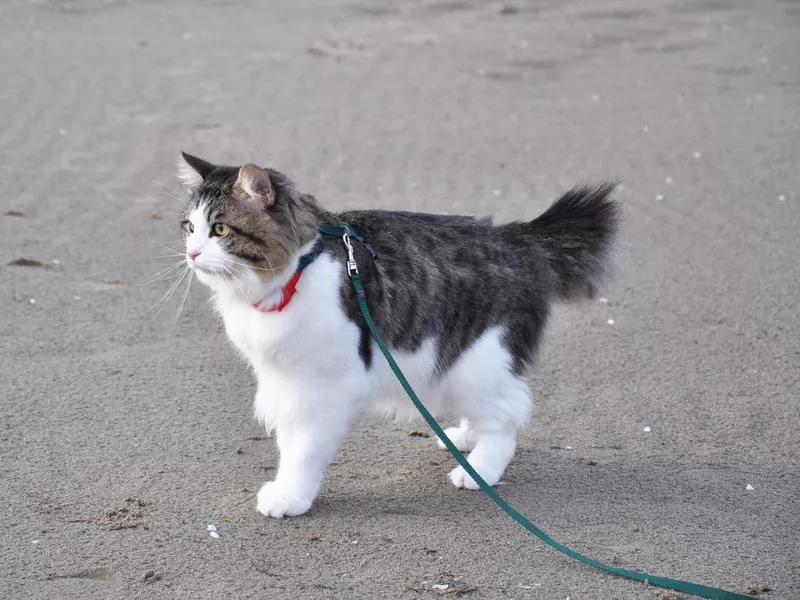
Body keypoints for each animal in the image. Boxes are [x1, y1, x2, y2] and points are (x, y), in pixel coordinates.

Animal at [178, 152, 620, 516]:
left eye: (220, 229)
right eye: (189, 227)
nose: (191, 254)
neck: (298, 270)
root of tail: (519, 236)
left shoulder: (324, 386)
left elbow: (303, 450)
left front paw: (291, 497)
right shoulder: (285, 383)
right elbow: (289, 443)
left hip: (479, 361)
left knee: (507, 416)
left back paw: (479, 470)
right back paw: (464, 438)